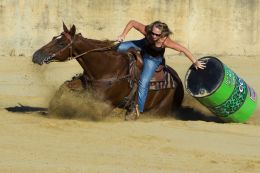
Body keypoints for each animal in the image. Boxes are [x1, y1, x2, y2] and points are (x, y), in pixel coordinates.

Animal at [32, 23, 184, 117]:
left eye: (61, 43)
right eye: (53, 38)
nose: (36, 56)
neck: (107, 68)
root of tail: (178, 81)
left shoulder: (105, 103)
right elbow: (64, 87)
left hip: (160, 110)